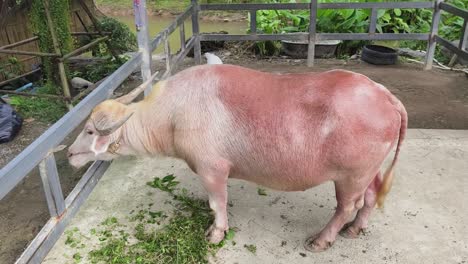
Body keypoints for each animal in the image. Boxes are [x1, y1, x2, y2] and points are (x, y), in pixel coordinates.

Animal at [67, 64, 408, 252]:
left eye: (88, 130)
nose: (69, 154)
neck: (174, 114)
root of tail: (386, 97)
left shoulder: (212, 169)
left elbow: (217, 203)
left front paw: (215, 234)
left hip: (350, 175)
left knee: (346, 205)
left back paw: (322, 240)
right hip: (368, 171)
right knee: (371, 196)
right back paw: (355, 229)